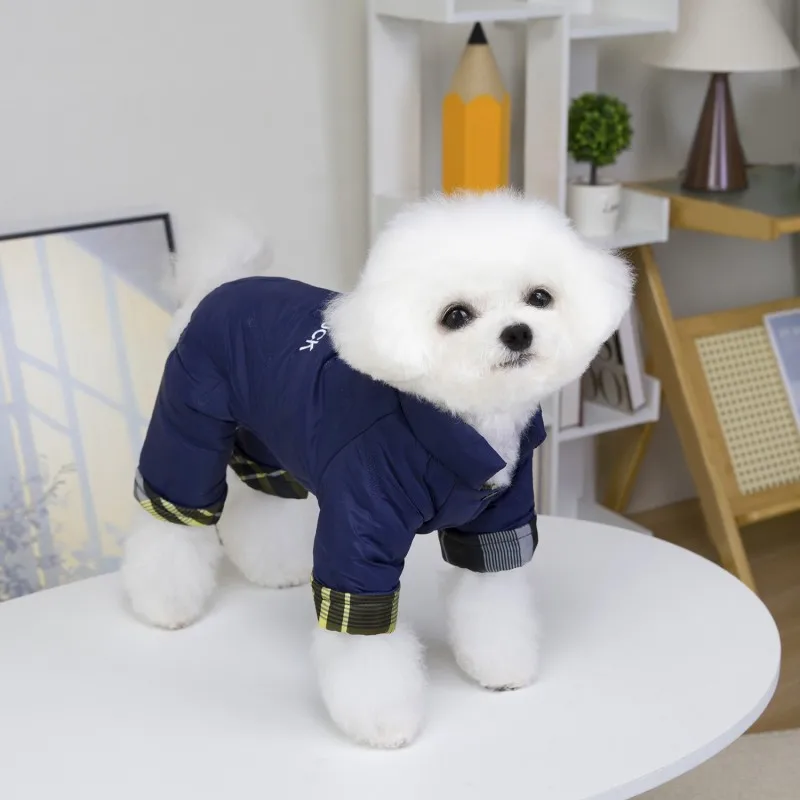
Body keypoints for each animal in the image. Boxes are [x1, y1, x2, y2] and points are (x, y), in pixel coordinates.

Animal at [121, 189, 633, 749]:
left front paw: (500, 666)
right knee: (175, 516)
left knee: (261, 502)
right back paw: (165, 604)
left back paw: (274, 569)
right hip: (189, 421)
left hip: (265, 437)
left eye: (540, 297)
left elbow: (492, 597)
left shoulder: (498, 522)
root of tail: (213, 286)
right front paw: (385, 722)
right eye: (456, 315)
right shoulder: (360, 529)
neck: (455, 424)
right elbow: (363, 635)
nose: (517, 333)